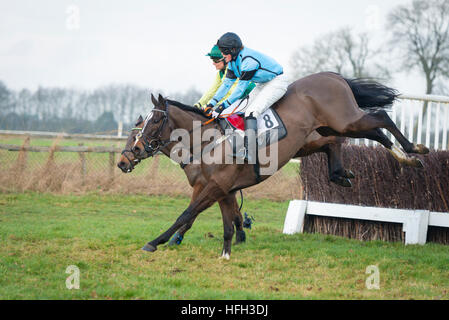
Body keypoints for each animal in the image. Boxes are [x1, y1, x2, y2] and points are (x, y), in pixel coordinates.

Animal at [121, 71, 428, 258]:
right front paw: (227, 249)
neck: (208, 141)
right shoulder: (220, 188)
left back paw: (413, 151)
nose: (127, 157)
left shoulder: (215, 186)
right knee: (346, 139)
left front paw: (155, 242)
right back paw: (349, 172)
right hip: (324, 130)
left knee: (379, 119)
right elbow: (226, 219)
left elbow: (186, 214)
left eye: (154, 122)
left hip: (345, 119)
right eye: (138, 129)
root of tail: (333, 75)